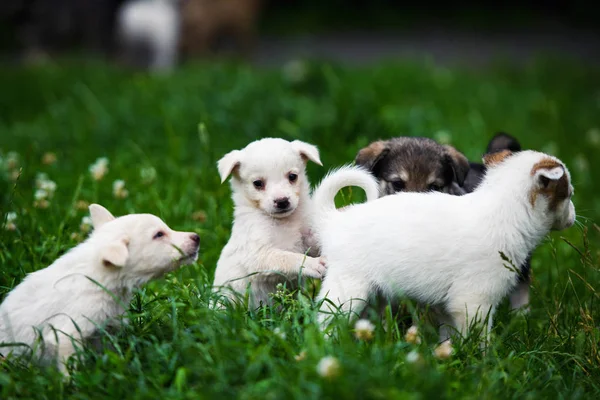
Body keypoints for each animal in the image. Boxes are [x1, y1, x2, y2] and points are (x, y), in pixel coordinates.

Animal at [0, 205, 202, 374]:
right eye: (159, 234)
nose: (197, 237)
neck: (100, 277)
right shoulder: (67, 333)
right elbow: (70, 368)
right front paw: (72, 386)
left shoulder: (105, 331)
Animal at [212, 138, 332, 310]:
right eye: (257, 183)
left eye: (292, 176)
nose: (282, 201)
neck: (283, 222)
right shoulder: (258, 254)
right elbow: (287, 257)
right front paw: (312, 264)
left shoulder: (306, 238)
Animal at [312, 150, 576, 344]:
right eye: (569, 194)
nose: (574, 217)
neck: (503, 210)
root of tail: (334, 220)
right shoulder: (474, 302)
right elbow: (479, 341)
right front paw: (483, 364)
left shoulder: (449, 309)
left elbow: (449, 336)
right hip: (347, 289)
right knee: (325, 320)